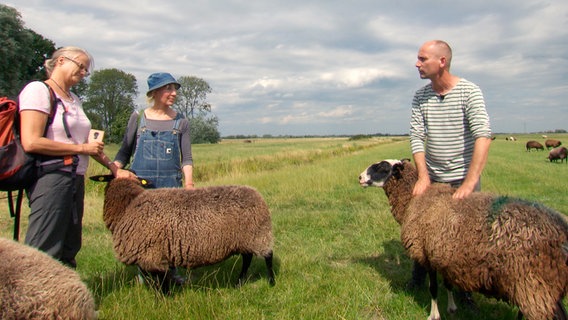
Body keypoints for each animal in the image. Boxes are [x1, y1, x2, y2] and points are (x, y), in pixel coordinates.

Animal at [95, 176, 276, 294]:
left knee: (268, 256)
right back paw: (239, 282)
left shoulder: (152, 254)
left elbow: (161, 280)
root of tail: (256, 193)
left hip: (259, 234)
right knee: (247, 258)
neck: (128, 206)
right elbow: (158, 278)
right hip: (245, 238)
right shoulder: (153, 255)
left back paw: (271, 282)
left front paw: (164, 299)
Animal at [360, 159, 568, 320]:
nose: (360, 177)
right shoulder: (444, 254)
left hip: (533, 286)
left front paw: (434, 315)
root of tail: (561, 231)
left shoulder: (427, 255)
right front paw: (452, 308)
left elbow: (433, 288)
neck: (414, 198)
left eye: (382, 167)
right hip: (544, 288)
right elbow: (448, 283)